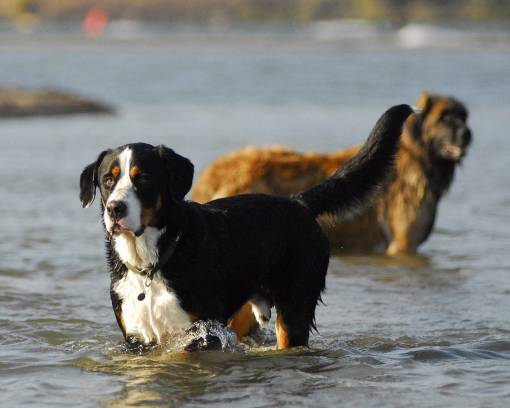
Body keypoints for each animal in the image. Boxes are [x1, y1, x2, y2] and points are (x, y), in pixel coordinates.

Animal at [79, 103, 414, 350]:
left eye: (143, 178)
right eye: (108, 180)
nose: (115, 209)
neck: (152, 263)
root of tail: (298, 203)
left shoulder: (203, 332)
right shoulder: (136, 338)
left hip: (295, 307)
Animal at [193, 93, 472, 258]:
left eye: (464, 116)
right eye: (444, 118)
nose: (467, 134)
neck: (419, 156)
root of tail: (216, 171)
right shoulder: (403, 244)